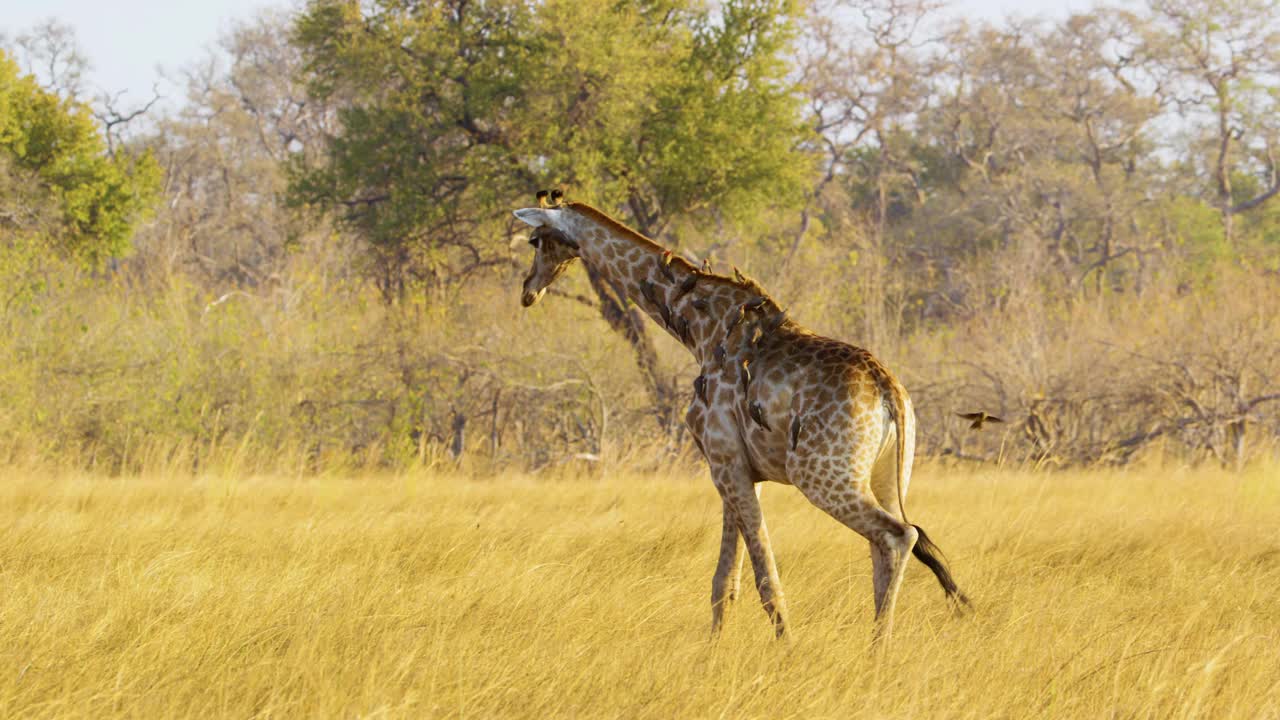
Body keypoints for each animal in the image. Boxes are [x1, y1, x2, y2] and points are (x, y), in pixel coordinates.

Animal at [514, 192, 962, 638]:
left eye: (535, 240)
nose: (528, 291)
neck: (698, 327)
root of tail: (889, 391)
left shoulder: (724, 460)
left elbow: (765, 580)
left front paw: (786, 647)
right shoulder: (737, 468)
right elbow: (724, 583)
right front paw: (714, 648)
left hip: (820, 475)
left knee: (899, 536)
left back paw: (876, 645)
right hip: (887, 476)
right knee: (884, 545)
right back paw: (877, 644)